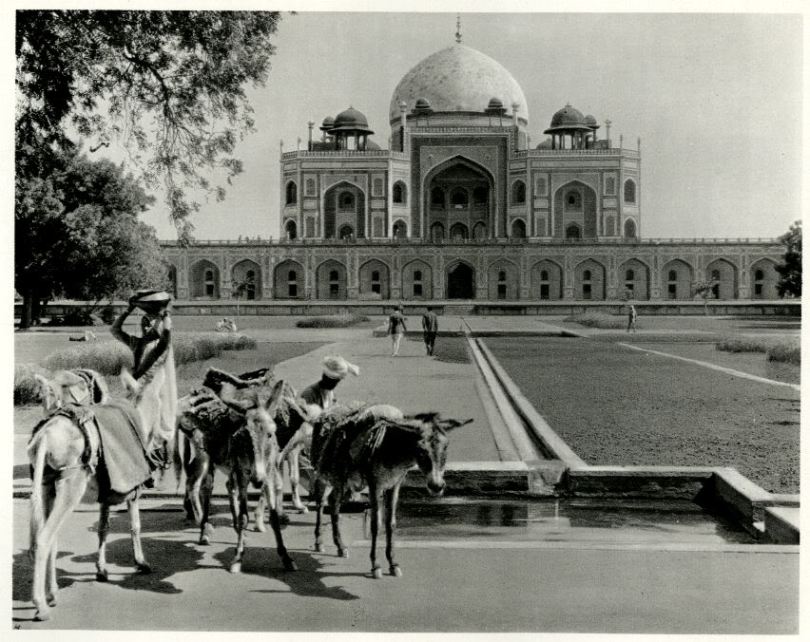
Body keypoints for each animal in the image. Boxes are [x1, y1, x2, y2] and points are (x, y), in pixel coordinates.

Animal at [27, 367, 167, 622]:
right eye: (161, 400)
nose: (165, 435)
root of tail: (45, 436)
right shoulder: (133, 492)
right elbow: (135, 526)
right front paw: (141, 562)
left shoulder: (107, 493)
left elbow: (103, 528)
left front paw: (101, 570)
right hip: (71, 487)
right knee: (43, 539)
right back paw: (41, 605)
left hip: (48, 487)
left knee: (51, 538)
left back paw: (52, 594)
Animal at [177, 378, 297, 573]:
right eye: (244, 436)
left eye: (270, 433)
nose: (257, 479)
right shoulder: (242, 475)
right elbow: (244, 517)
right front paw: (238, 558)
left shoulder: (268, 474)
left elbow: (273, 517)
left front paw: (286, 558)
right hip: (205, 458)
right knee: (201, 488)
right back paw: (204, 531)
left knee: (225, 487)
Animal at [301, 403, 472, 579]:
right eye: (420, 449)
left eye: (446, 446)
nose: (436, 486)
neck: (391, 449)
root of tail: (326, 412)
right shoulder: (374, 484)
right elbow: (376, 524)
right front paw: (375, 565)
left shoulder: (394, 484)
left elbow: (391, 523)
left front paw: (393, 563)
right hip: (323, 470)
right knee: (321, 500)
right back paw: (319, 542)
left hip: (341, 479)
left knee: (334, 502)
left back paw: (341, 547)